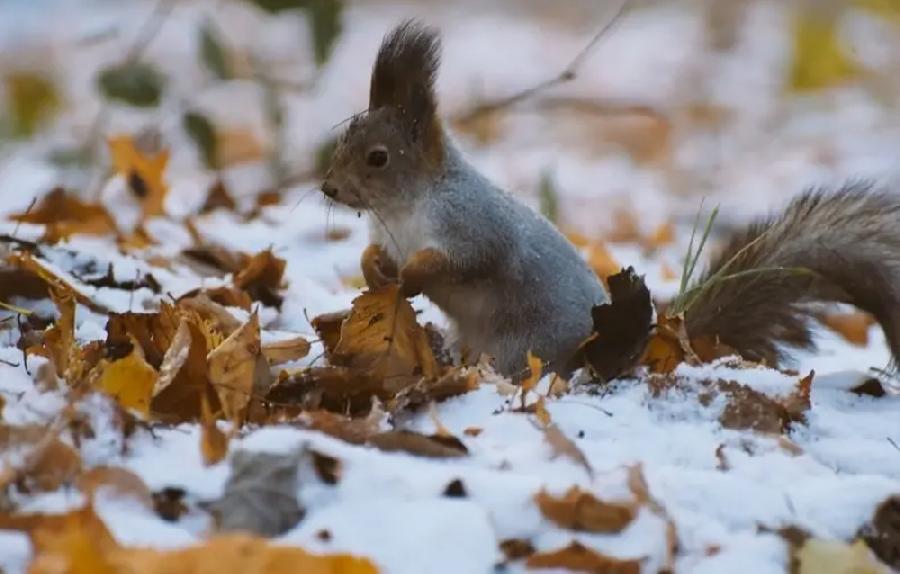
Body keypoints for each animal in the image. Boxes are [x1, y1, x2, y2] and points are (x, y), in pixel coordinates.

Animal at [322, 21, 900, 382]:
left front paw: (412, 276)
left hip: (523, 342)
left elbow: (464, 261)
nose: (328, 189)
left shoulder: (471, 223)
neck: (403, 211)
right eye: (346, 135)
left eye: (377, 157)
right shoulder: (387, 233)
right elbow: (374, 255)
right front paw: (374, 270)